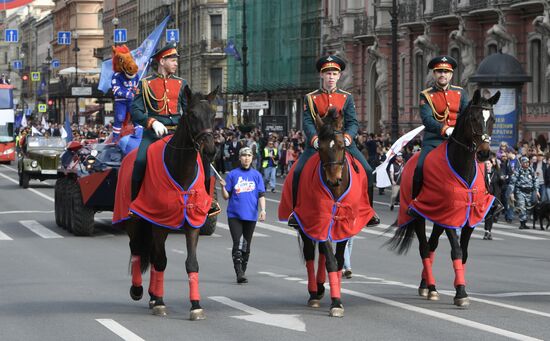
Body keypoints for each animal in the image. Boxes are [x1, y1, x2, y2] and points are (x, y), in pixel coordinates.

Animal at [388, 89, 500, 306]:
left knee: (431, 246)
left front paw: (459, 288)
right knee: (424, 248)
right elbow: (456, 250)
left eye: (492, 119)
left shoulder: (469, 218)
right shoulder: (451, 215)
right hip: (419, 215)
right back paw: (430, 287)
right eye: (474, 118)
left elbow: (463, 253)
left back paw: (425, 285)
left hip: (438, 216)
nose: (484, 154)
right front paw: (461, 293)